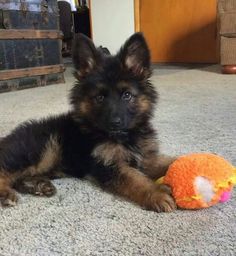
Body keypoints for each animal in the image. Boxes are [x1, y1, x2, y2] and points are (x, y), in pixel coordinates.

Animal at [0, 32, 177, 212]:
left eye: (127, 95)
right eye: (99, 98)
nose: (115, 123)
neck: (125, 137)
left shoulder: (145, 157)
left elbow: (168, 162)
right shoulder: (107, 165)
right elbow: (135, 179)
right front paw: (156, 194)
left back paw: (39, 186)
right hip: (41, 149)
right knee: (5, 171)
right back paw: (6, 194)